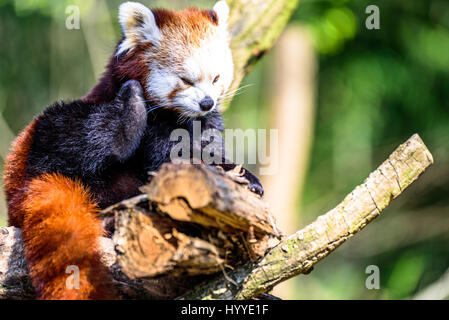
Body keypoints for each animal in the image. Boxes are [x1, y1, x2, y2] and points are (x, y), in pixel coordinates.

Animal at [3, 0, 262, 300]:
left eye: (216, 78)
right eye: (186, 80)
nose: (206, 102)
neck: (178, 117)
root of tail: (24, 184)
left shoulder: (206, 125)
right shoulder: (153, 124)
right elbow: (167, 161)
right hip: (41, 137)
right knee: (74, 130)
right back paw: (128, 117)